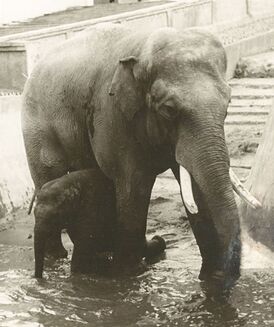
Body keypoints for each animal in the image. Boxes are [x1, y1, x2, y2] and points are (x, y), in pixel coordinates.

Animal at [33, 169, 166, 280]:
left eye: (55, 216)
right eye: (33, 213)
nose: (39, 279)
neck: (68, 183)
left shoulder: (91, 208)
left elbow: (84, 243)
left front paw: (77, 275)